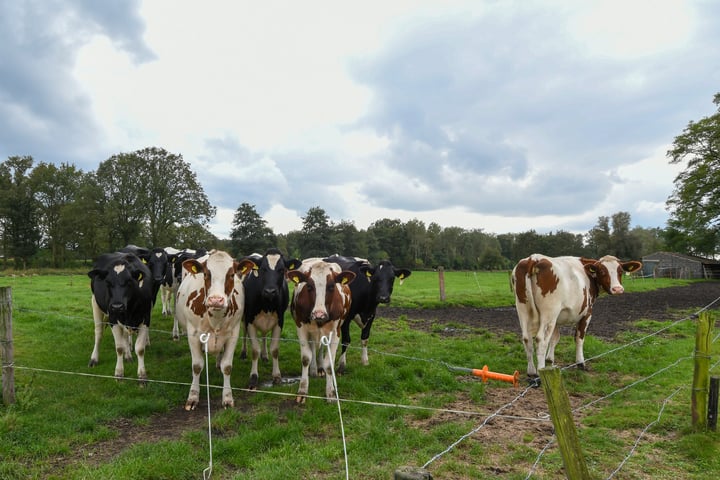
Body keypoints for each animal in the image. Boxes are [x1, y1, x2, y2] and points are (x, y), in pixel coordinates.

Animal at [88, 249, 155, 380]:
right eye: (108, 282)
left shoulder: (145, 317)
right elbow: (119, 347)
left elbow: (140, 348)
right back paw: (94, 358)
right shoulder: (113, 319)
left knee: (124, 335)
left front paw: (142, 375)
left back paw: (128, 356)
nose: (117, 306)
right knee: (99, 333)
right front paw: (119, 372)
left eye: (129, 281)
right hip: (95, 304)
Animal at [174, 249, 253, 410]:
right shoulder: (193, 334)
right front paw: (193, 397)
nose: (216, 300)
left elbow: (227, 366)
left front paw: (227, 397)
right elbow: (197, 366)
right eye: (205, 274)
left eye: (231, 275)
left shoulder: (233, 333)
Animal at [240, 249, 300, 388]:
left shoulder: (280, 321)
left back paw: (265, 355)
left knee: (263, 336)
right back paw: (243, 353)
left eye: (282, 270)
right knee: (244, 333)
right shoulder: (250, 319)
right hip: (244, 317)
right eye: (263, 269)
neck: (267, 304)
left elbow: (275, 349)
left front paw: (277, 376)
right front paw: (253, 377)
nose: (270, 291)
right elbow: (255, 350)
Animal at [286, 260, 354, 404]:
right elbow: (306, 358)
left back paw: (320, 368)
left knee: (321, 348)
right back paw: (313, 370)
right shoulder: (301, 327)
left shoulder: (336, 332)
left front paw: (331, 393)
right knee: (312, 347)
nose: (319, 314)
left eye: (332, 286)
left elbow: (329, 363)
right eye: (309, 286)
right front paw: (302, 390)